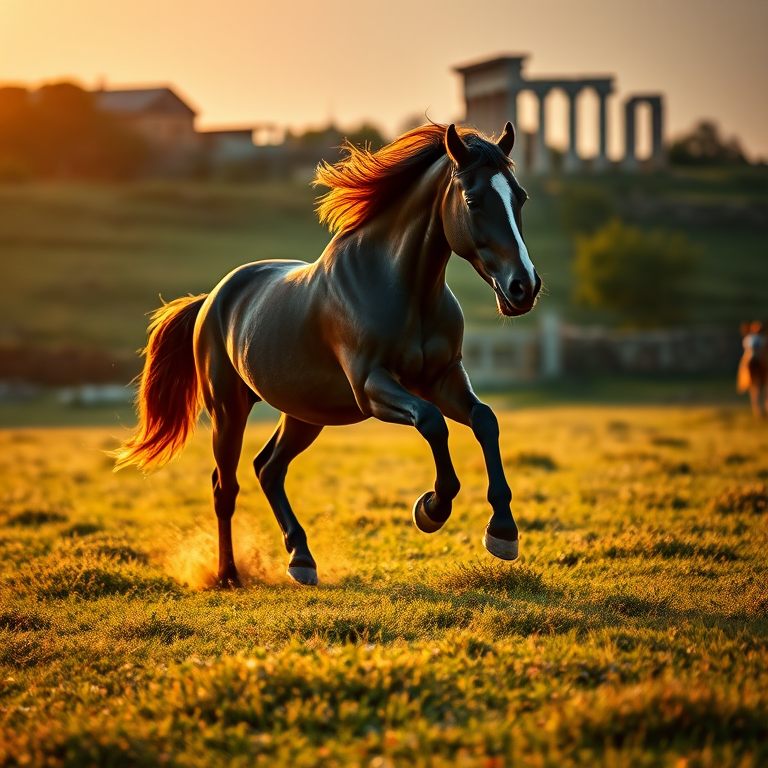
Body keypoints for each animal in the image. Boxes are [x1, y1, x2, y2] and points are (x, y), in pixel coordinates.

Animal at [113, 122, 541, 587]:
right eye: (473, 200)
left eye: (520, 196)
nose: (524, 287)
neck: (401, 288)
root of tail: (211, 299)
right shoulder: (371, 387)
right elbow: (431, 422)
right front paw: (431, 509)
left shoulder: (443, 378)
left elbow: (485, 419)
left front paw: (502, 533)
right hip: (228, 410)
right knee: (225, 488)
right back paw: (229, 575)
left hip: (303, 414)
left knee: (268, 468)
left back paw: (301, 559)